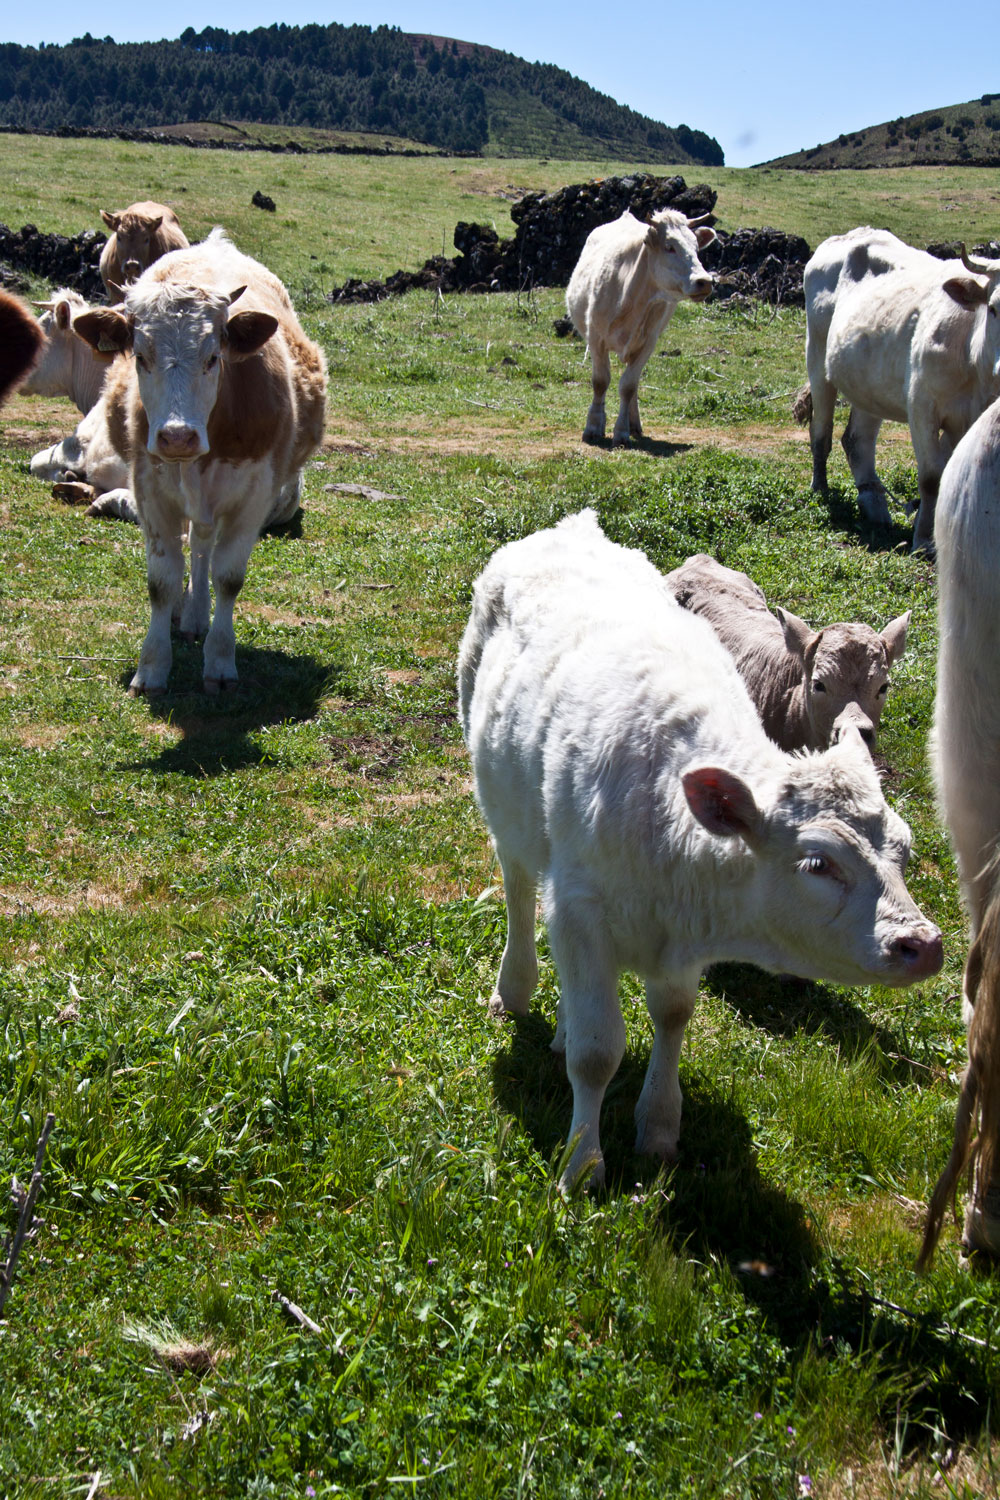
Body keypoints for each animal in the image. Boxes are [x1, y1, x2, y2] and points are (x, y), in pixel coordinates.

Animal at [72, 228, 327, 695]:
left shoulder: (254, 497)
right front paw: (152, 668)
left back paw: (196, 617)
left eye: (213, 357)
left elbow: (228, 577)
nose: (177, 436)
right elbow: (161, 581)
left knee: (203, 547)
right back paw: (184, 614)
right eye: (140, 357)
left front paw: (220, 662)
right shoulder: (150, 492)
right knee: (193, 547)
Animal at [566, 208, 715, 447]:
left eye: (696, 246)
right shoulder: (596, 338)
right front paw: (593, 427)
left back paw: (634, 424)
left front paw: (622, 431)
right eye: (670, 246)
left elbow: (628, 386)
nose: (705, 281)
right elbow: (600, 382)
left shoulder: (648, 343)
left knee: (633, 383)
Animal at [801, 225, 1000, 553]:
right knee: (821, 432)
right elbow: (932, 477)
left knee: (856, 439)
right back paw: (820, 488)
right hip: (817, 357)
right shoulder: (922, 406)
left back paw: (874, 505)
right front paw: (924, 540)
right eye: (994, 308)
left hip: (867, 381)